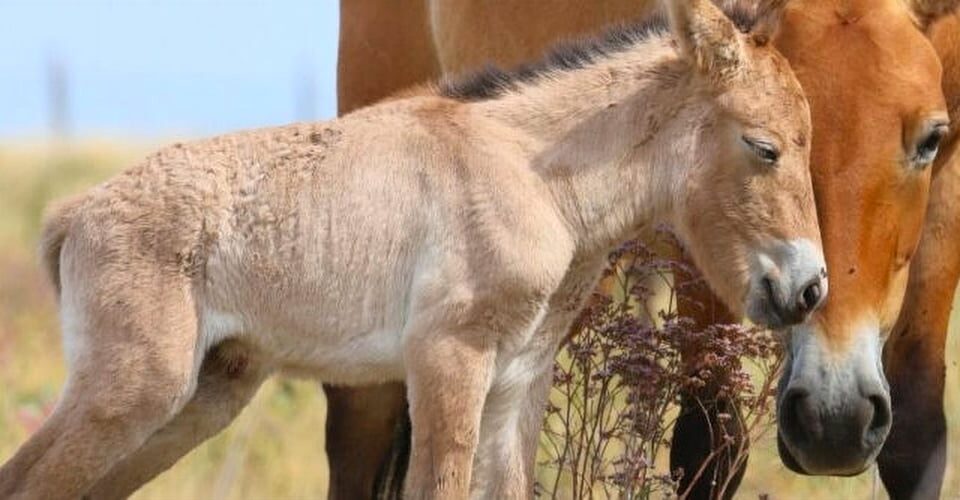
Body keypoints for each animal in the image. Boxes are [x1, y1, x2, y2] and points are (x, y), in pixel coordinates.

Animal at [0, 1, 822, 498]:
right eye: (765, 148)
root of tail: (74, 214)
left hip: (200, 400)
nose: (808, 289)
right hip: (132, 394)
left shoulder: (515, 384)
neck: (531, 173)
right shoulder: (448, 360)